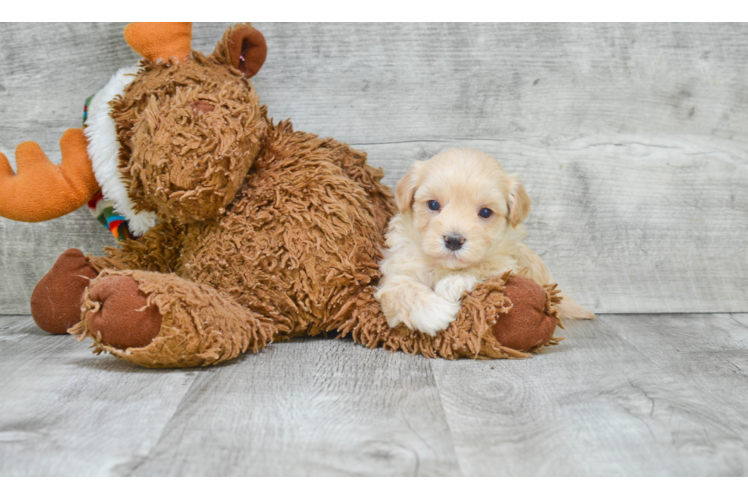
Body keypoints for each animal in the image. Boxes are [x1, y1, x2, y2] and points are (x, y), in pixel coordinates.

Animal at [376, 148, 592, 336]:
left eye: (486, 212)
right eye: (433, 204)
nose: (453, 240)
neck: (443, 266)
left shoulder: (509, 265)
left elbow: (485, 267)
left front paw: (452, 283)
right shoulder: (395, 275)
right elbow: (402, 290)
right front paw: (435, 311)